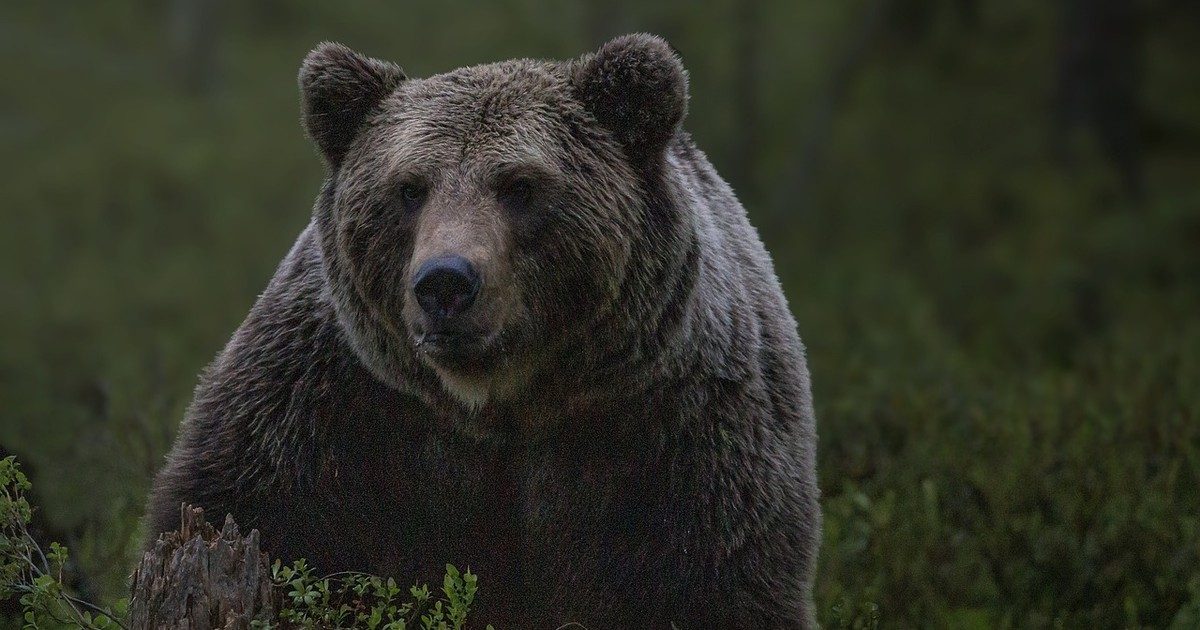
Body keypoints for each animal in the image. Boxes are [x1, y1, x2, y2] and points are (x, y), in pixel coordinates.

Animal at [145, 35, 820, 628]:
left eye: (519, 186)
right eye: (409, 188)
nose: (445, 284)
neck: (500, 402)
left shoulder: (681, 432)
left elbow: (716, 583)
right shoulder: (327, 405)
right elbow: (249, 510)